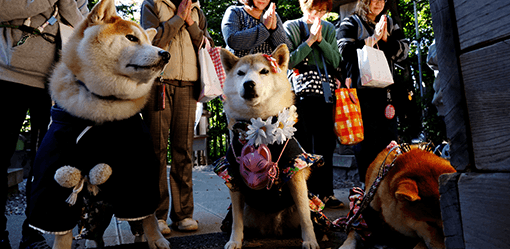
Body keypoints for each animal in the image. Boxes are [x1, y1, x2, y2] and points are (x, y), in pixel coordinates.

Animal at [25, 0, 170, 247]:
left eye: (149, 42)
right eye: (131, 38)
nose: (166, 54)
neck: (101, 107)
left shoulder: (139, 164)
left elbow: (147, 214)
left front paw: (157, 240)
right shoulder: (52, 171)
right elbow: (59, 227)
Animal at [217, 44, 320, 249]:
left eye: (264, 71)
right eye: (240, 73)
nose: (248, 83)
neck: (259, 128)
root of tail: (273, 229)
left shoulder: (295, 170)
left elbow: (305, 215)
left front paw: (310, 240)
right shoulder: (232, 175)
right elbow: (236, 220)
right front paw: (235, 241)